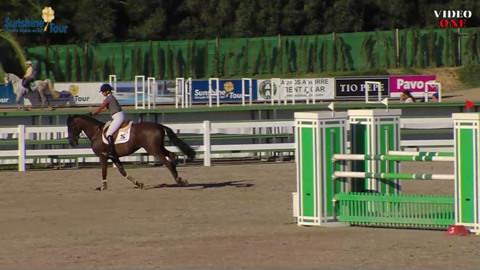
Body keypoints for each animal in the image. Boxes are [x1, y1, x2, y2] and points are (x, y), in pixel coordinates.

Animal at [66, 114, 196, 190]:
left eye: (71, 127)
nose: (72, 143)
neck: (96, 132)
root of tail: (158, 125)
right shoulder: (114, 157)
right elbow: (122, 171)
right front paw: (138, 183)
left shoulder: (103, 156)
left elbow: (104, 171)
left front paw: (103, 186)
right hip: (159, 148)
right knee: (172, 156)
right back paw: (179, 177)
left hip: (153, 150)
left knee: (167, 163)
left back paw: (179, 180)